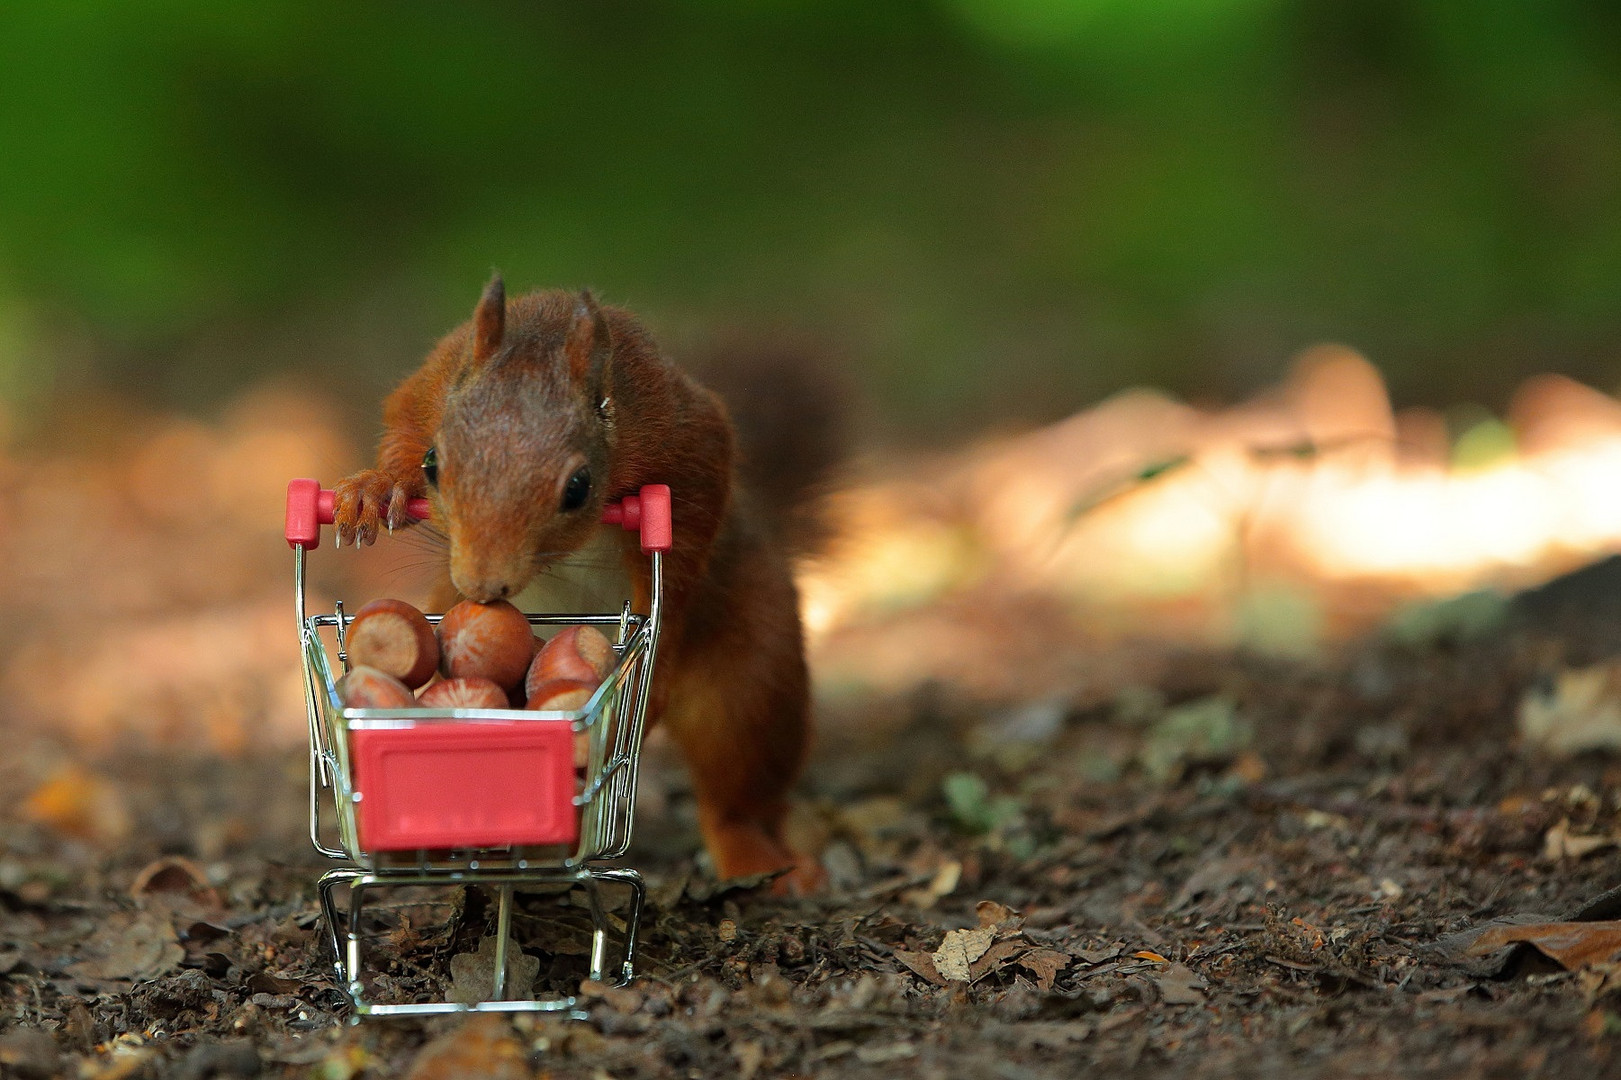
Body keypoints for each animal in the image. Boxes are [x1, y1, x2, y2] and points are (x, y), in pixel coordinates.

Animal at [330, 274, 836, 888]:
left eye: (578, 488)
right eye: (432, 465)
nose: (481, 586)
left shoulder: (683, 434)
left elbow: (685, 545)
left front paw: (659, 651)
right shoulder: (435, 383)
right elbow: (401, 419)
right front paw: (373, 488)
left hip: (756, 679)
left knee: (735, 792)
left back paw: (759, 859)